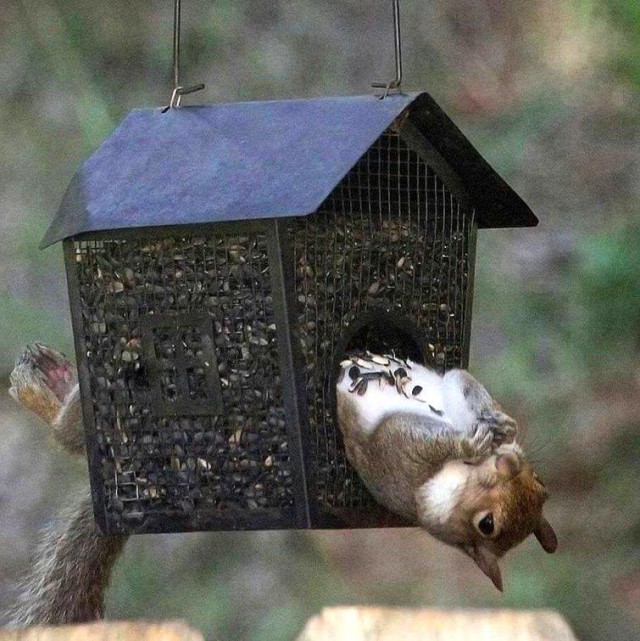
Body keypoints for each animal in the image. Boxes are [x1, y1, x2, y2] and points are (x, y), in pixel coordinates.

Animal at [338, 350, 556, 592]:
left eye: (486, 524)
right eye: (540, 481)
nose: (511, 462)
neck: (466, 468)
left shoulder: (402, 456)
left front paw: (474, 439)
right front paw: (502, 428)